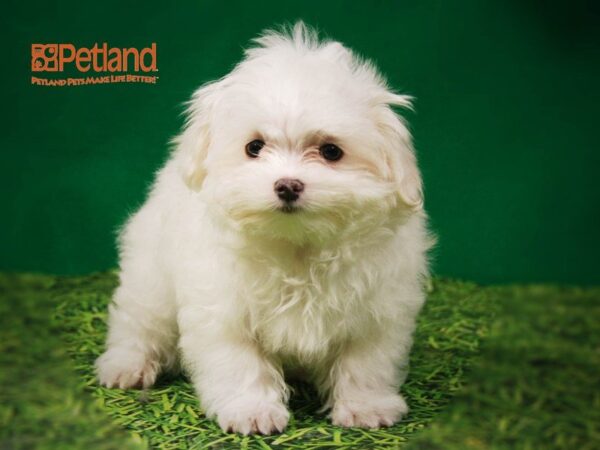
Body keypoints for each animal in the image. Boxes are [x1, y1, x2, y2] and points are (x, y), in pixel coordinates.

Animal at [95, 22, 432, 434]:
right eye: (254, 147)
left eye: (331, 151)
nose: (287, 185)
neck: (297, 245)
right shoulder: (221, 308)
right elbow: (240, 361)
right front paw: (251, 411)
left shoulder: (378, 309)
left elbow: (365, 360)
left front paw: (366, 406)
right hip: (150, 275)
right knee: (139, 321)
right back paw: (126, 365)